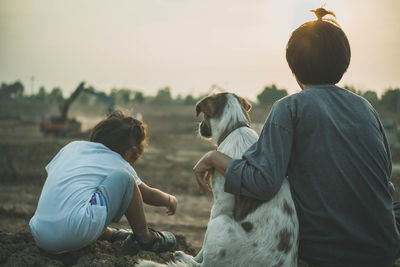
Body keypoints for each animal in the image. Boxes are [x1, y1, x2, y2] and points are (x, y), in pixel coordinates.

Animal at [139, 92, 298, 267]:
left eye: (204, 116)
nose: (199, 127)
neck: (234, 128)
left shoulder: (222, 204)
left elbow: (203, 247)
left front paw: (193, 257)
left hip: (220, 223)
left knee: (204, 264)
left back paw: (182, 256)